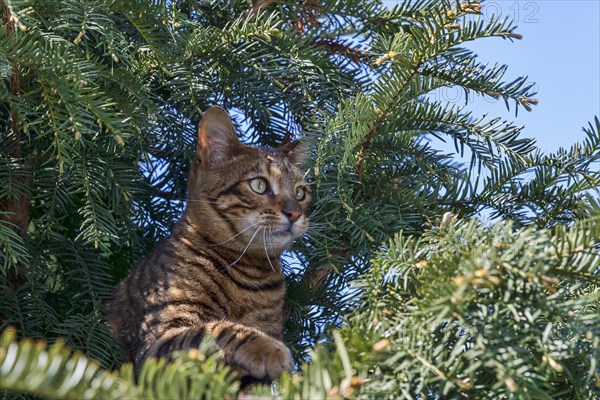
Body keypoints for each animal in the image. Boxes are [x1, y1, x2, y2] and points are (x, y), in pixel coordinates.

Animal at [109, 105, 312, 384]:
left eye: (300, 193)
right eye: (259, 185)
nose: (294, 213)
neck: (250, 275)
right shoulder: (159, 338)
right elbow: (217, 330)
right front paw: (268, 349)